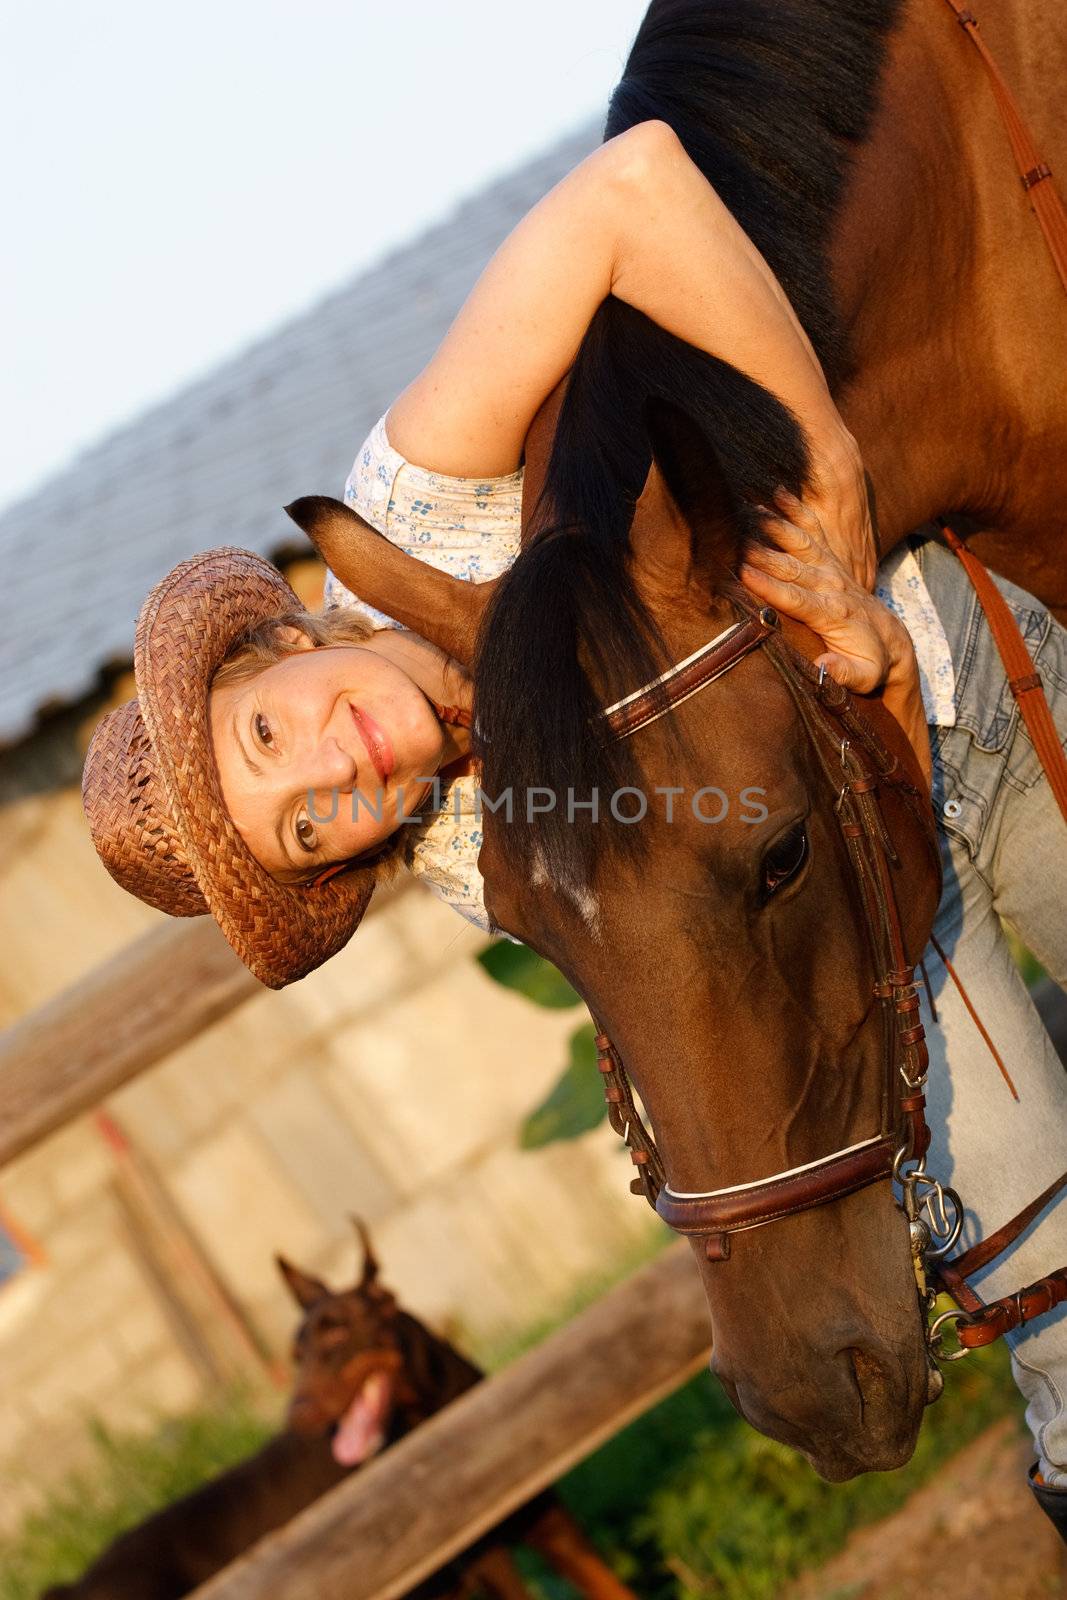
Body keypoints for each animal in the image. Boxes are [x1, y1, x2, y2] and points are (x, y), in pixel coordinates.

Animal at [41, 1216, 633, 1593]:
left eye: (340, 1335)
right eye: (296, 1354)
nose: (297, 1416)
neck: (442, 1415)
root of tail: (71, 1585)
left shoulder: (552, 1524)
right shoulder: (481, 1556)